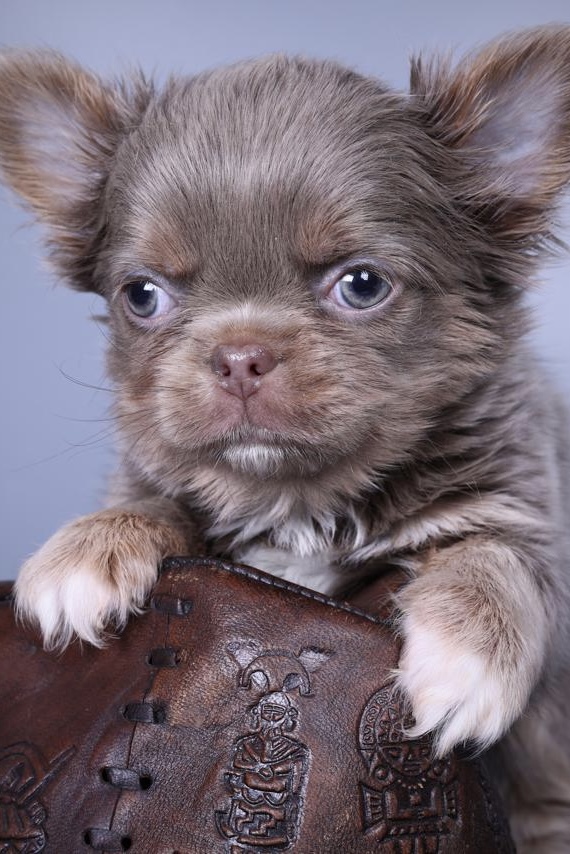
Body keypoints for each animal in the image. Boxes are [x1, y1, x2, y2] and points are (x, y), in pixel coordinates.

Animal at [1, 26, 569, 850]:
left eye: (362, 285)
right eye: (142, 296)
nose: (239, 354)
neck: (297, 505)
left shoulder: (524, 501)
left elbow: (495, 550)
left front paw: (467, 650)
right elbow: (152, 497)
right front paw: (91, 546)